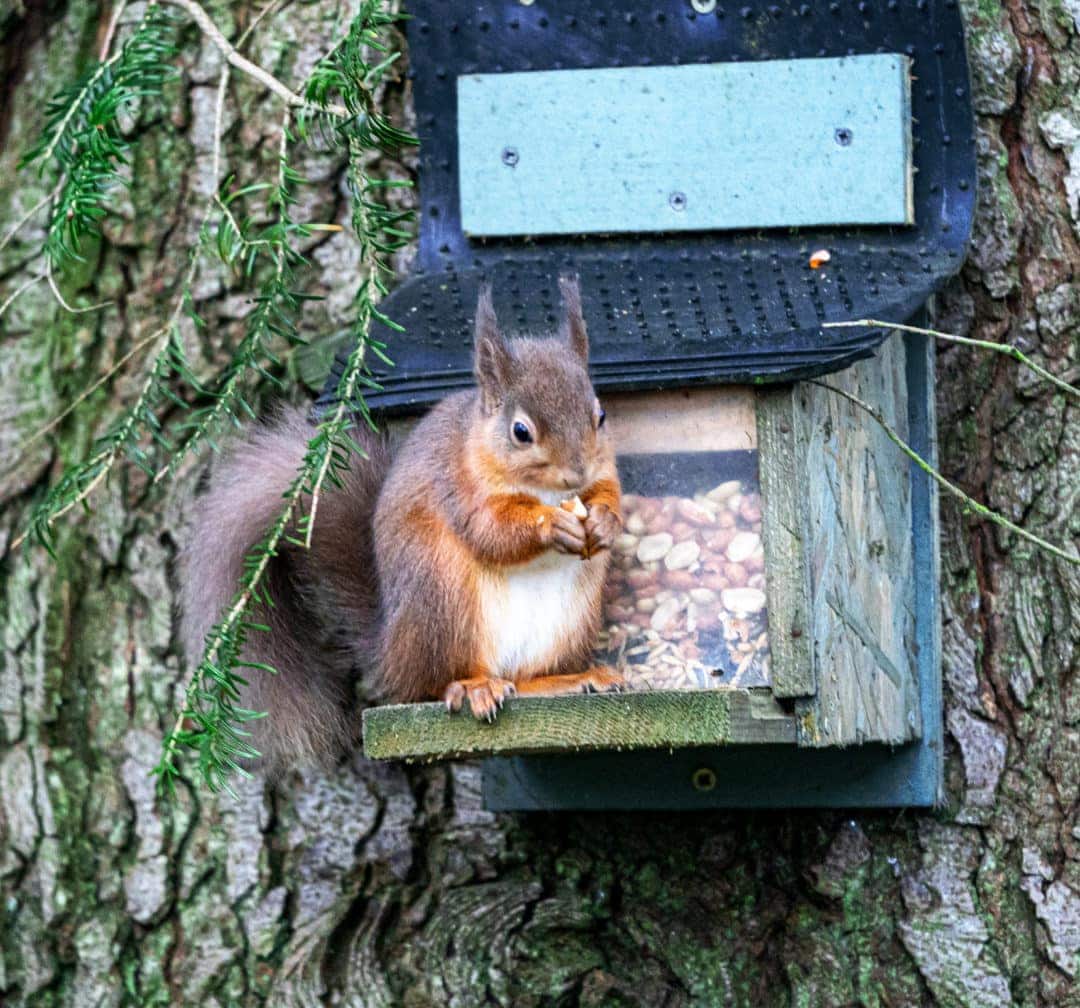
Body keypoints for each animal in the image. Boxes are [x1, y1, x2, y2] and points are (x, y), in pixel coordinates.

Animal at [182, 275, 630, 769]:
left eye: (600, 415)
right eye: (521, 432)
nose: (576, 474)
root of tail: (392, 652)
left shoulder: (602, 471)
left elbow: (608, 492)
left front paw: (605, 522)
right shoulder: (457, 488)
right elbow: (491, 532)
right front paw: (551, 526)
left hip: (566, 624)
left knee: (525, 677)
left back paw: (568, 680)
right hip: (444, 601)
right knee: (435, 683)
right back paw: (474, 687)